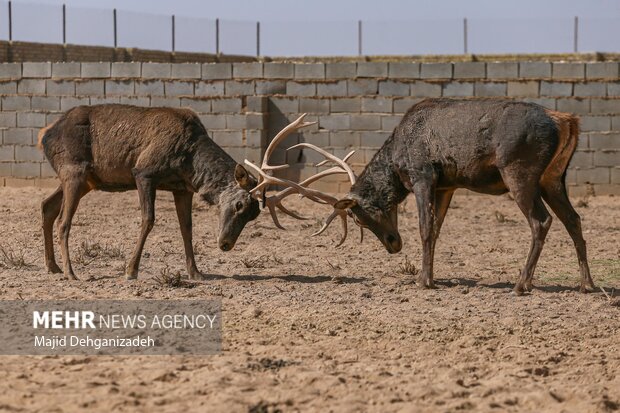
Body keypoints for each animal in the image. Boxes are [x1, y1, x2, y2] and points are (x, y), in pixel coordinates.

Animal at [38, 104, 352, 282]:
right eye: (239, 205)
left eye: (253, 215)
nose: (225, 244)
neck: (189, 160)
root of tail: (44, 133)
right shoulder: (144, 172)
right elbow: (148, 220)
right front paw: (130, 270)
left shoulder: (183, 188)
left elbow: (186, 228)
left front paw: (195, 272)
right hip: (74, 170)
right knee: (64, 220)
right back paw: (71, 272)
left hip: (87, 180)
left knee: (46, 205)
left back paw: (52, 267)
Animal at [330, 98, 596, 294]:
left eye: (359, 219)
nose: (392, 244)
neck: (395, 164)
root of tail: (565, 121)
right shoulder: (446, 186)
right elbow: (436, 229)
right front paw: (429, 276)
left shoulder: (423, 175)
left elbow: (424, 228)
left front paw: (423, 281)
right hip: (553, 178)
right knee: (573, 218)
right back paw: (586, 283)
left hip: (519, 171)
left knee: (541, 220)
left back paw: (521, 284)